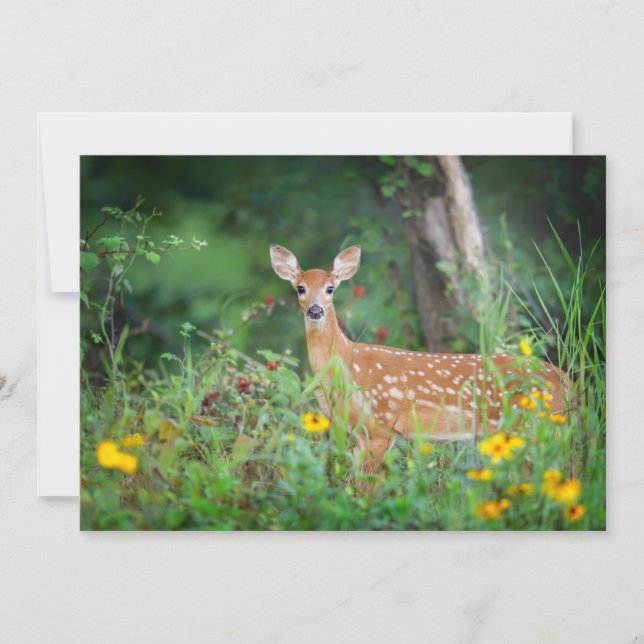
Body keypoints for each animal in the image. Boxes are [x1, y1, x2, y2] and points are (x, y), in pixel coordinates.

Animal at [269, 244, 571, 474]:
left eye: (330, 288)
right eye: (300, 288)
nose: (315, 310)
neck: (345, 362)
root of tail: (566, 379)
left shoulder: (381, 426)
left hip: (539, 423)